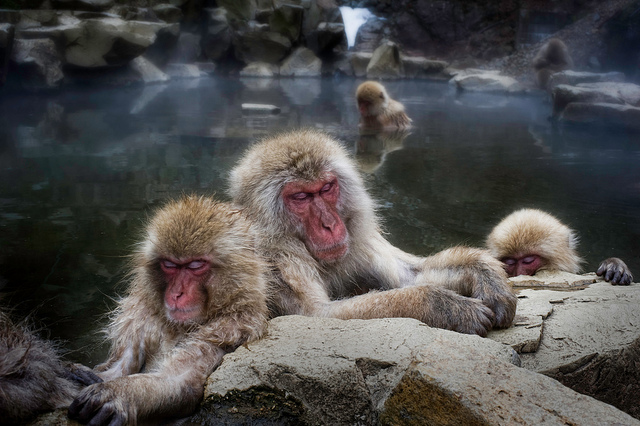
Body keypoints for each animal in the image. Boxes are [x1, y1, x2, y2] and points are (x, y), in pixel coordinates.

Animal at [68, 195, 269, 425]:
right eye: (170, 265)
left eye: (195, 265)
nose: (176, 293)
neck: (180, 326)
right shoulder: (141, 316)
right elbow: (119, 366)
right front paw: (86, 375)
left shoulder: (231, 328)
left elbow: (180, 382)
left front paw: (120, 393)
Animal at [228, 129, 516, 337]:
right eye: (300, 197)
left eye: (326, 188)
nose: (329, 224)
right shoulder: (273, 256)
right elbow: (316, 316)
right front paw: (444, 306)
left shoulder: (358, 238)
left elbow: (409, 275)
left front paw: (486, 275)